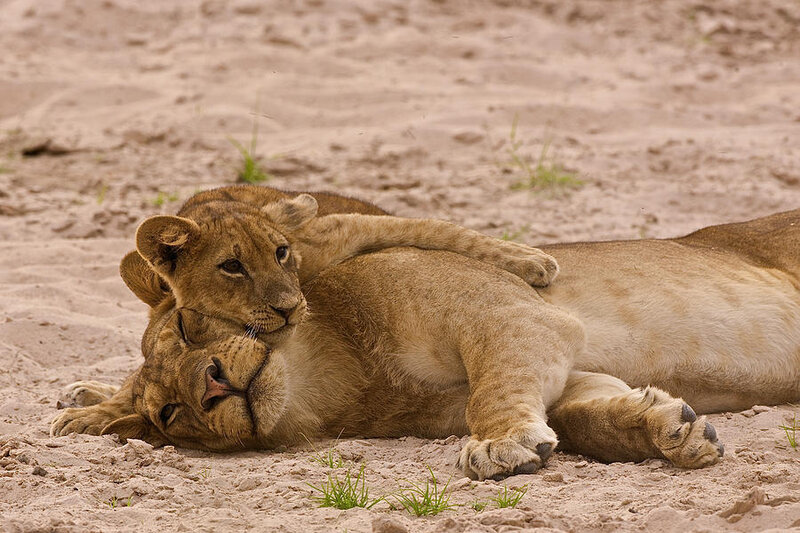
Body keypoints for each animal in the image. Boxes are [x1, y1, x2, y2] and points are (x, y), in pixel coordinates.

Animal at [53, 206, 800, 480]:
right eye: (168, 414)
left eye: (185, 330)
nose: (207, 385)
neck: (344, 376)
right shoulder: (570, 373)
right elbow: (589, 415)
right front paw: (669, 429)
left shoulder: (508, 312)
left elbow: (491, 392)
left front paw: (498, 445)